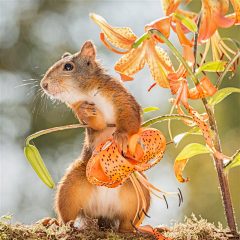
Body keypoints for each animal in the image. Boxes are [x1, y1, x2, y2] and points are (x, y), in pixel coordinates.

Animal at [40, 40, 151, 232]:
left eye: (68, 67)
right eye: (81, 111)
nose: (43, 85)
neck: (88, 92)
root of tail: (104, 212)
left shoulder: (122, 97)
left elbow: (130, 117)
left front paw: (121, 136)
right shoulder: (81, 109)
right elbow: (97, 125)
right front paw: (87, 111)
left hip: (139, 194)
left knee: (126, 225)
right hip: (70, 187)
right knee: (67, 219)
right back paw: (54, 222)